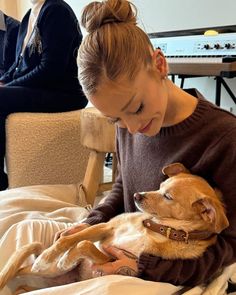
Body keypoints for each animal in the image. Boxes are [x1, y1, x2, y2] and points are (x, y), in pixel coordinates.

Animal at [0, 163, 229, 294]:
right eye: (160, 186)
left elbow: (83, 245)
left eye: (168, 196)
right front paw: (51, 254)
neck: (153, 227)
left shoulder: (114, 260)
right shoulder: (105, 227)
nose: (137, 196)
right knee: (21, 270)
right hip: (48, 270)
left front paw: (67, 257)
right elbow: (72, 238)